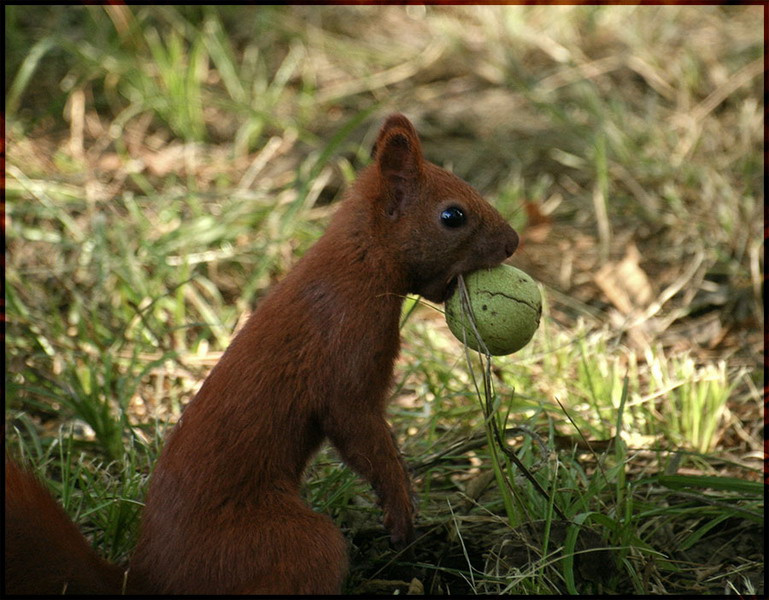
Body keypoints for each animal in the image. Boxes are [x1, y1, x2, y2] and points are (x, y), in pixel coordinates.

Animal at [5, 114, 518, 595]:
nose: (514, 242)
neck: (357, 262)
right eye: (452, 216)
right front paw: (399, 508)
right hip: (292, 543)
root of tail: (147, 580)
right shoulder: (346, 347)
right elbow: (358, 429)